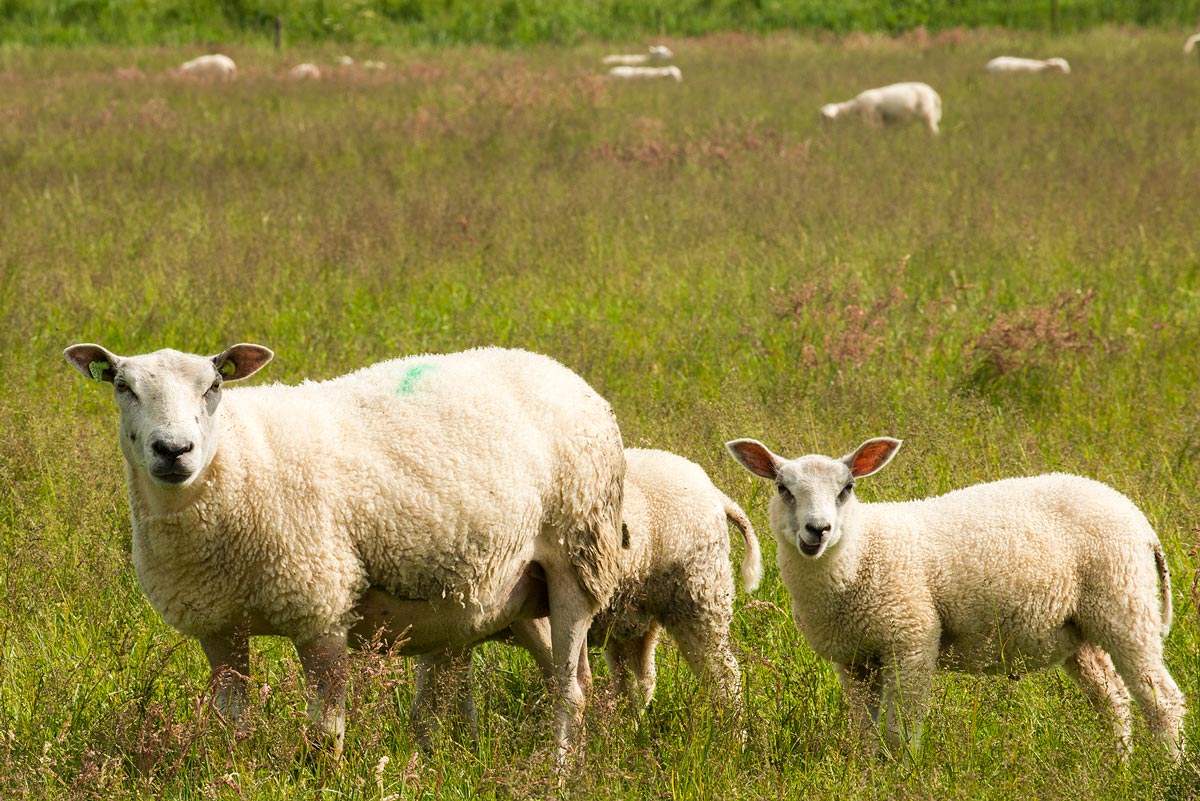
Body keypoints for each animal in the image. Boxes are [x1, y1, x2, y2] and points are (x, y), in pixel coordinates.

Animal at [63, 342, 628, 757]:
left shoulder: (321, 605)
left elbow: (324, 732)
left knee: (571, 692)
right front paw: (233, 769)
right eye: (122, 386)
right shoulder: (218, 627)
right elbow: (231, 723)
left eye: (215, 385)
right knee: (568, 676)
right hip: (520, 590)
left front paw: (322, 778)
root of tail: (563, 373)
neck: (239, 460)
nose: (173, 450)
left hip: (578, 557)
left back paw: (558, 771)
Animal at [724, 434, 1185, 762]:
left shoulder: (911, 638)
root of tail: (1137, 517)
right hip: (1081, 629)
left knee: (1162, 700)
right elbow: (865, 730)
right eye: (783, 488)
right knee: (1113, 699)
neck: (860, 553)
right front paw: (868, 771)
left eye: (847, 488)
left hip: (1125, 605)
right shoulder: (853, 659)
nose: (817, 530)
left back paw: (1169, 769)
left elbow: (901, 728)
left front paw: (902, 772)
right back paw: (1117, 764)